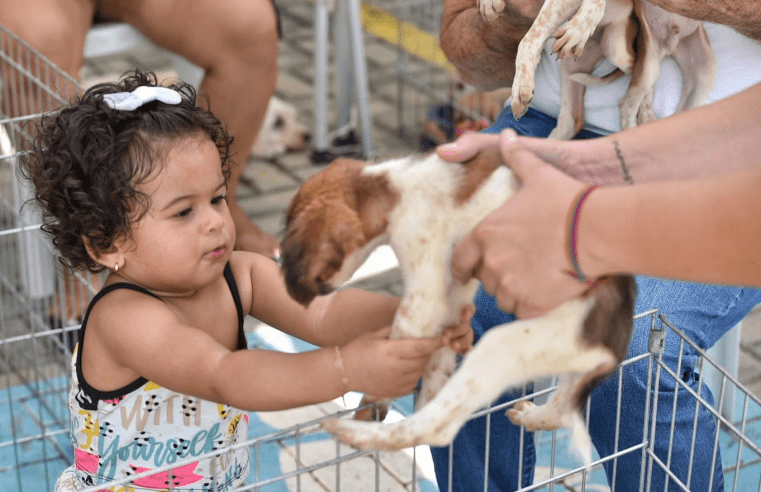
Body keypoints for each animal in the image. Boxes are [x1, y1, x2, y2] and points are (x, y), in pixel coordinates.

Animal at [280, 150, 636, 466]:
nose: (294, 289)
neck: (391, 187)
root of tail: (611, 351)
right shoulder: (454, 291)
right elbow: (439, 355)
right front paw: (430, 386)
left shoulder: (424, 294)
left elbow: (401, 346)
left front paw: (373, 402)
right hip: (568, 365)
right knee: (561, 410)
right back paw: (534, 415)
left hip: (505, 345)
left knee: (437, 428)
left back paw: (349, 430)